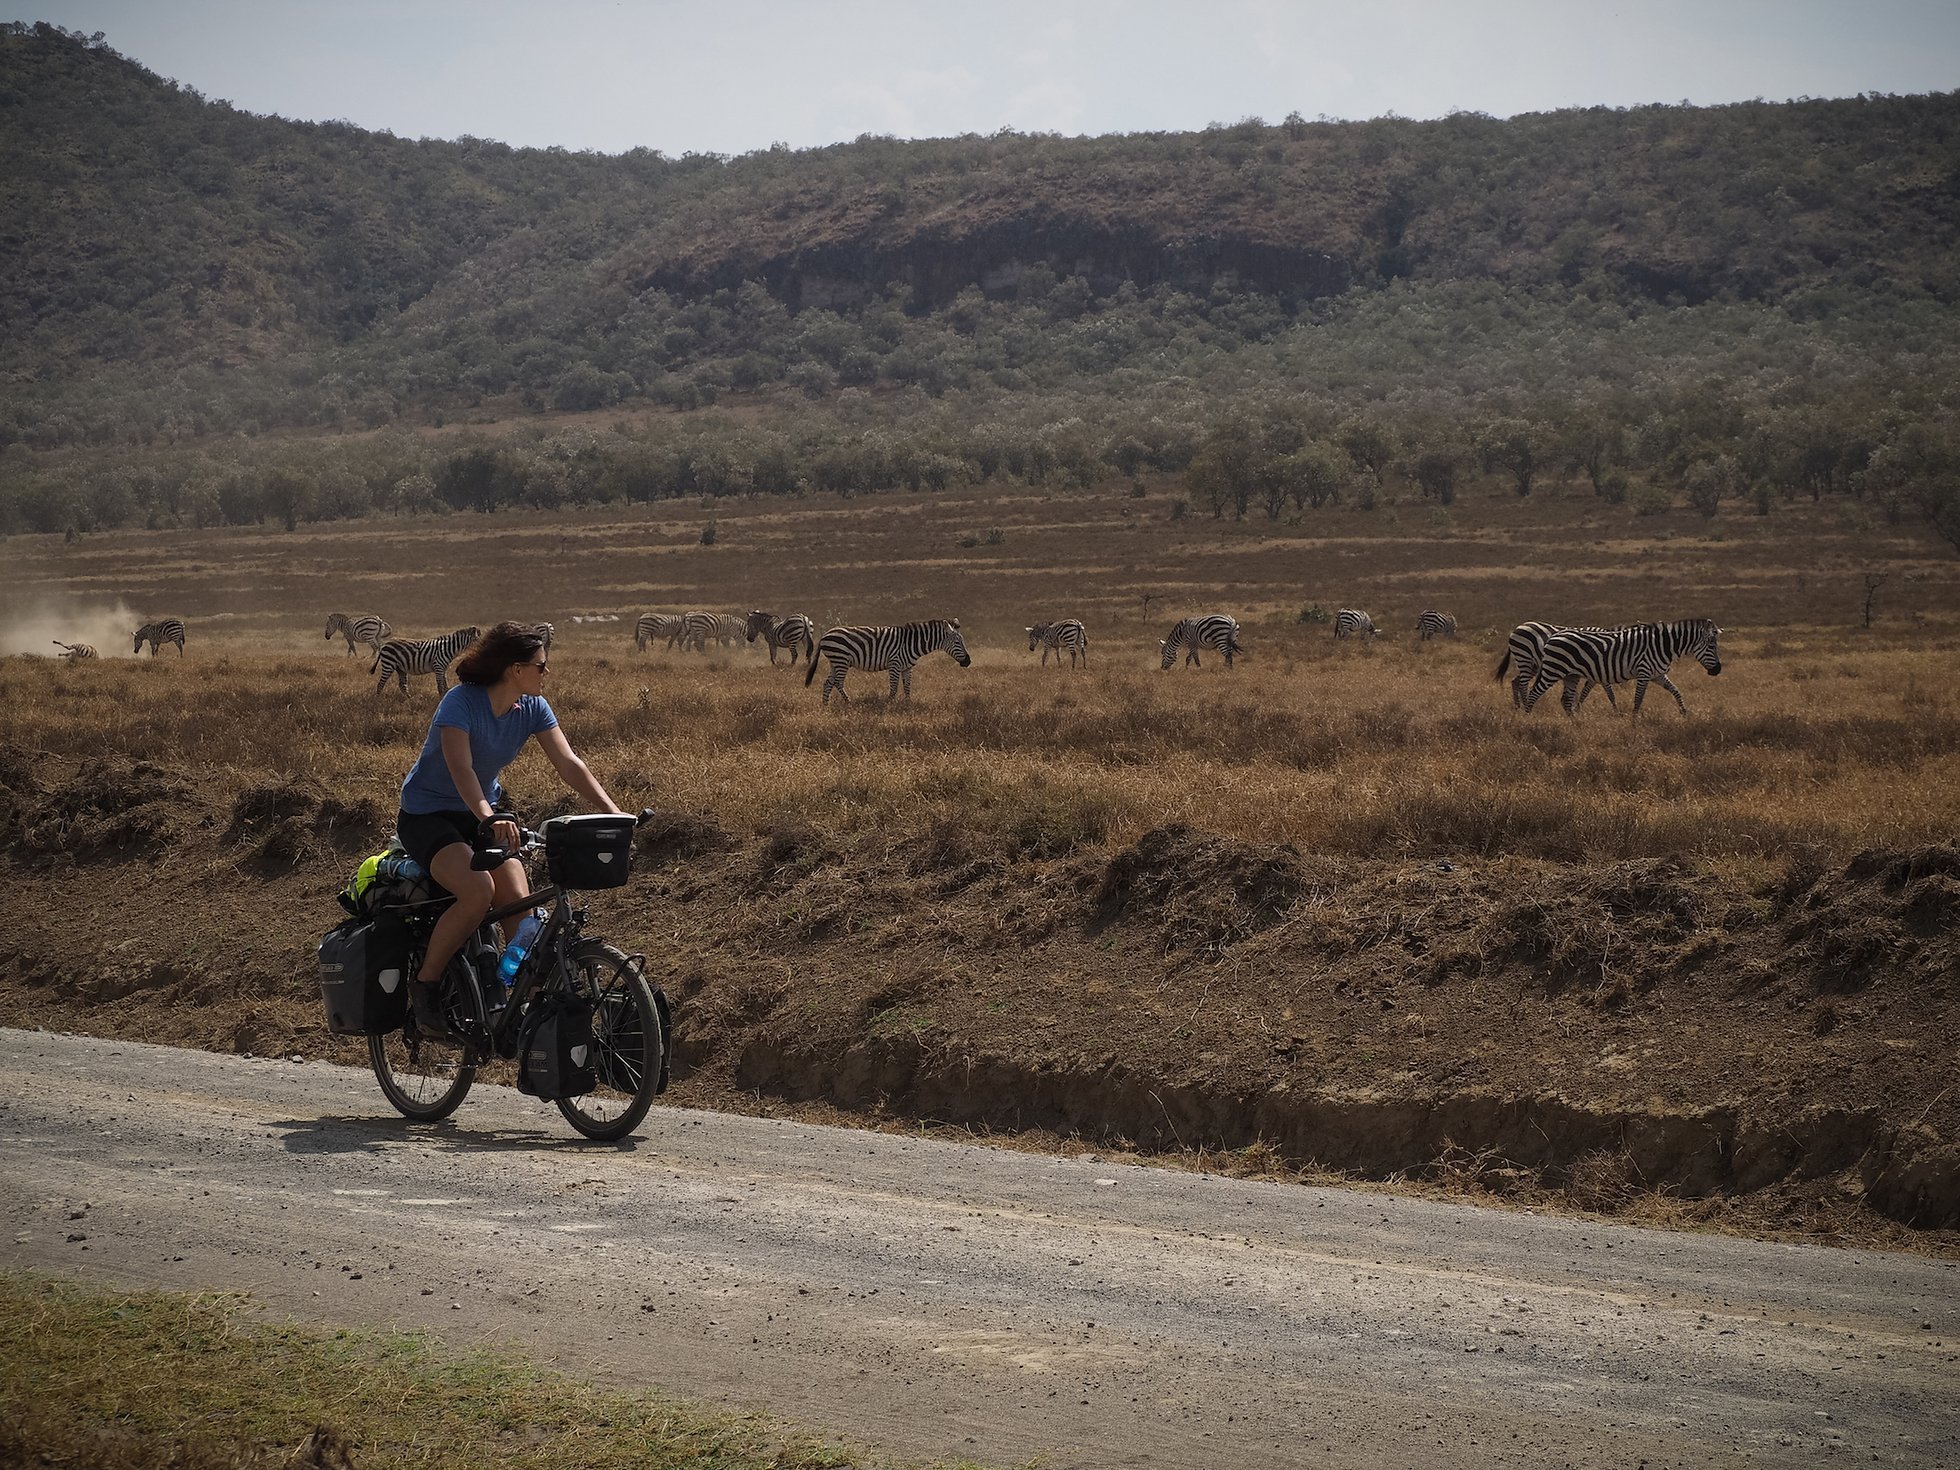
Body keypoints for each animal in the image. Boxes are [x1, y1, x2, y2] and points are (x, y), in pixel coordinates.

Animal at [803, 623, 972, 709]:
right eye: (957, 642)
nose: (968, 661)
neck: (912, 643)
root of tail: (825, 635)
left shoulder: (907, 667)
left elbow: (907, 687)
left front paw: (908, 704)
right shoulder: (894, 664)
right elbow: (894, 688)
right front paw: (889, 704)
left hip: (835, 661)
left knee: (828, 683)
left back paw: (825, 705)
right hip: (841, 660)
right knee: (837, 682)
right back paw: (848, 702)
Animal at [1520, 615, 1724, 721]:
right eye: (1712, 646)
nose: (1717, 671)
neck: (1663, 646)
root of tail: (1552, 637)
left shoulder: (1657, 675)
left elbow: (1676, 691)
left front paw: (1684, 713)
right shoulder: (1644, 673)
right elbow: (1638, 699)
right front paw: (1634, 722)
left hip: (1571, 675)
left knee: (1565, 700)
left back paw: (1576, 724)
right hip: (1553, 670)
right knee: (1534, 693)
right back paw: (1528, 720)